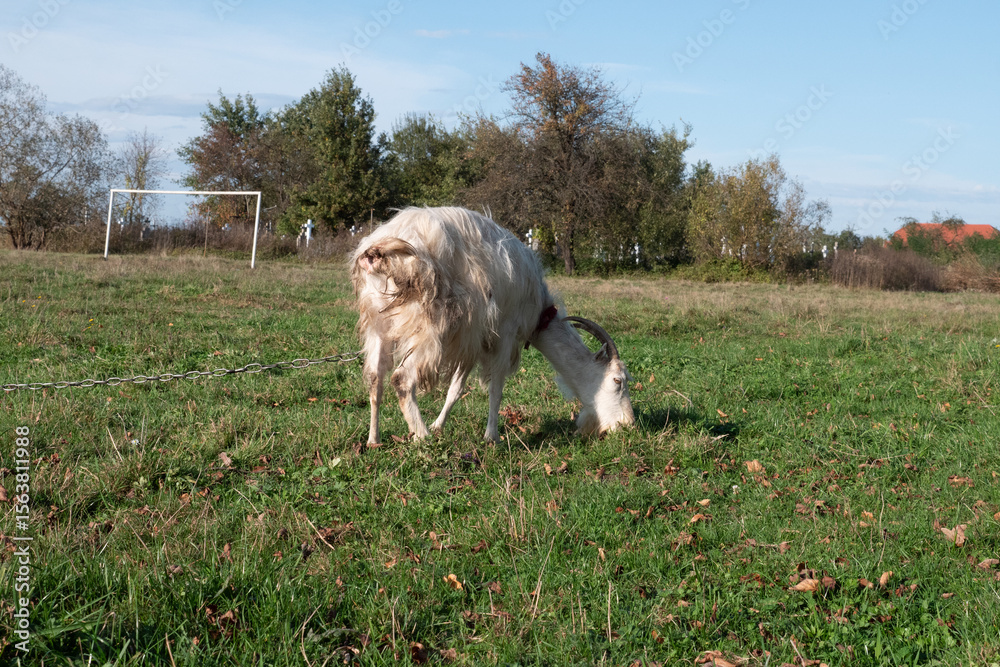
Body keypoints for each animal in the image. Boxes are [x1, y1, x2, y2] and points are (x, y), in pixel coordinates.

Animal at [350, 206, 635, 443]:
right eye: (618, 380)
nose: (628, 424)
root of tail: (378, 249)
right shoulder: (504, 334)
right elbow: (496, 389)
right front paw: (491, 437)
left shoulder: (472, 340)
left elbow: (456, 389)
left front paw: (439, 424)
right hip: (429, 327)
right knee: (401, 378)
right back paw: (423, 437)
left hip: (378, 322)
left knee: (376, 378)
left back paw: (374, 439)